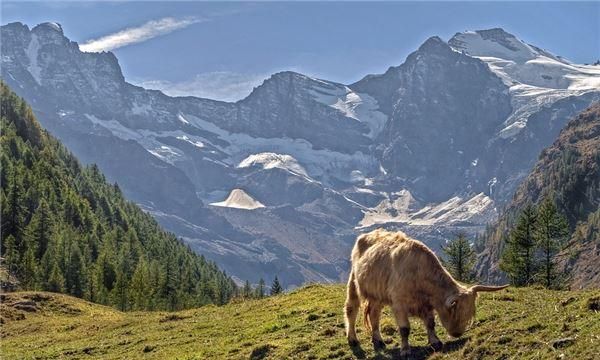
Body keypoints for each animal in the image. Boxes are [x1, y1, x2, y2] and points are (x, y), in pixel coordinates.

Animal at [344, 229, 508, 352]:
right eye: (455, 310)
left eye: (470, 313)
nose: (457, 333)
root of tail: (367, 235)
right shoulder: (399, 303)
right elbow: (405, 329)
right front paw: (405, 350)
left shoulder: (426, 305)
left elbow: (430, 323)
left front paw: (435, 342)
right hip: (354, 282)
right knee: (351, 309)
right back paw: (352, 339)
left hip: (377, 294)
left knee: (374, 314)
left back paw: (378, 341)